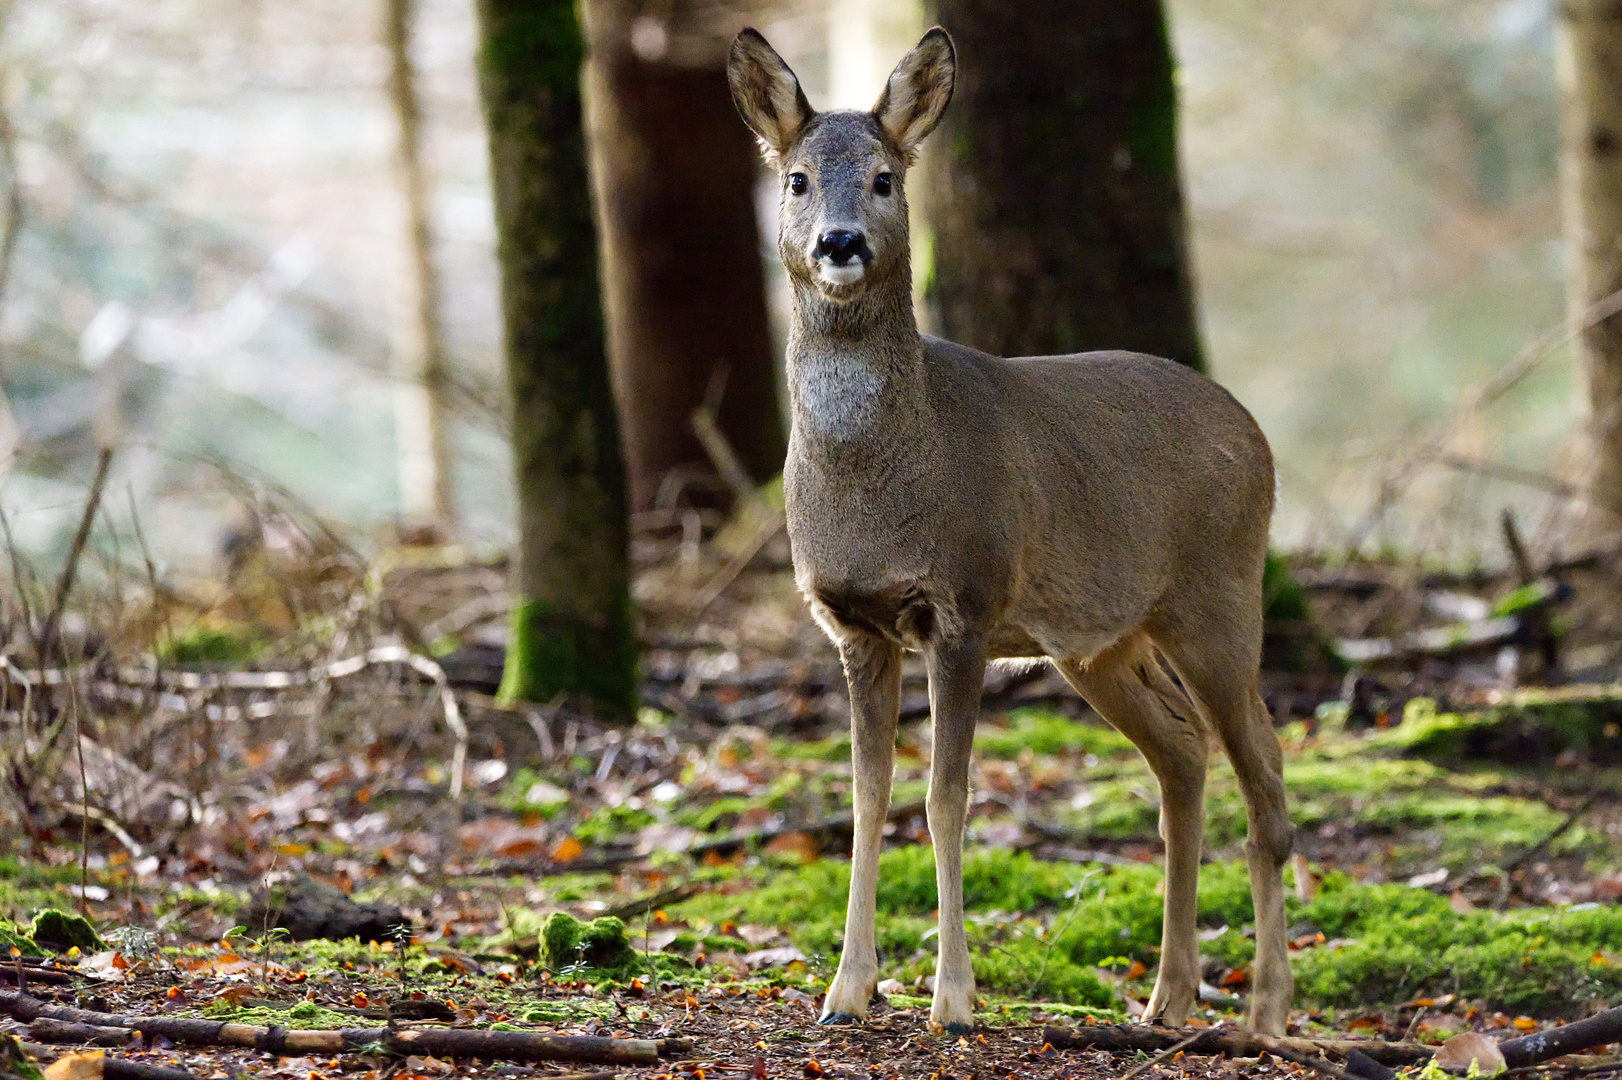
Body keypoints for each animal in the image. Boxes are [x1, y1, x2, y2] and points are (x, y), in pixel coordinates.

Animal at [733, 27, 1291, 1037]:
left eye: (883, 176)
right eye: (796, 178)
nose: (840, 242)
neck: (875, 486)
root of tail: (1257, 434)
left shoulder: (964, 604)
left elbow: (945, 798)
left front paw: (952, 1000)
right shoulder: (853, 626)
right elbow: (867, 797)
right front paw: (844, 993)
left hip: (1220, 596)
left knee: (1261, 768)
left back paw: (1265, 1012)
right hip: (1099, 643)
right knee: (1182, 752)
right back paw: (1167, 997)